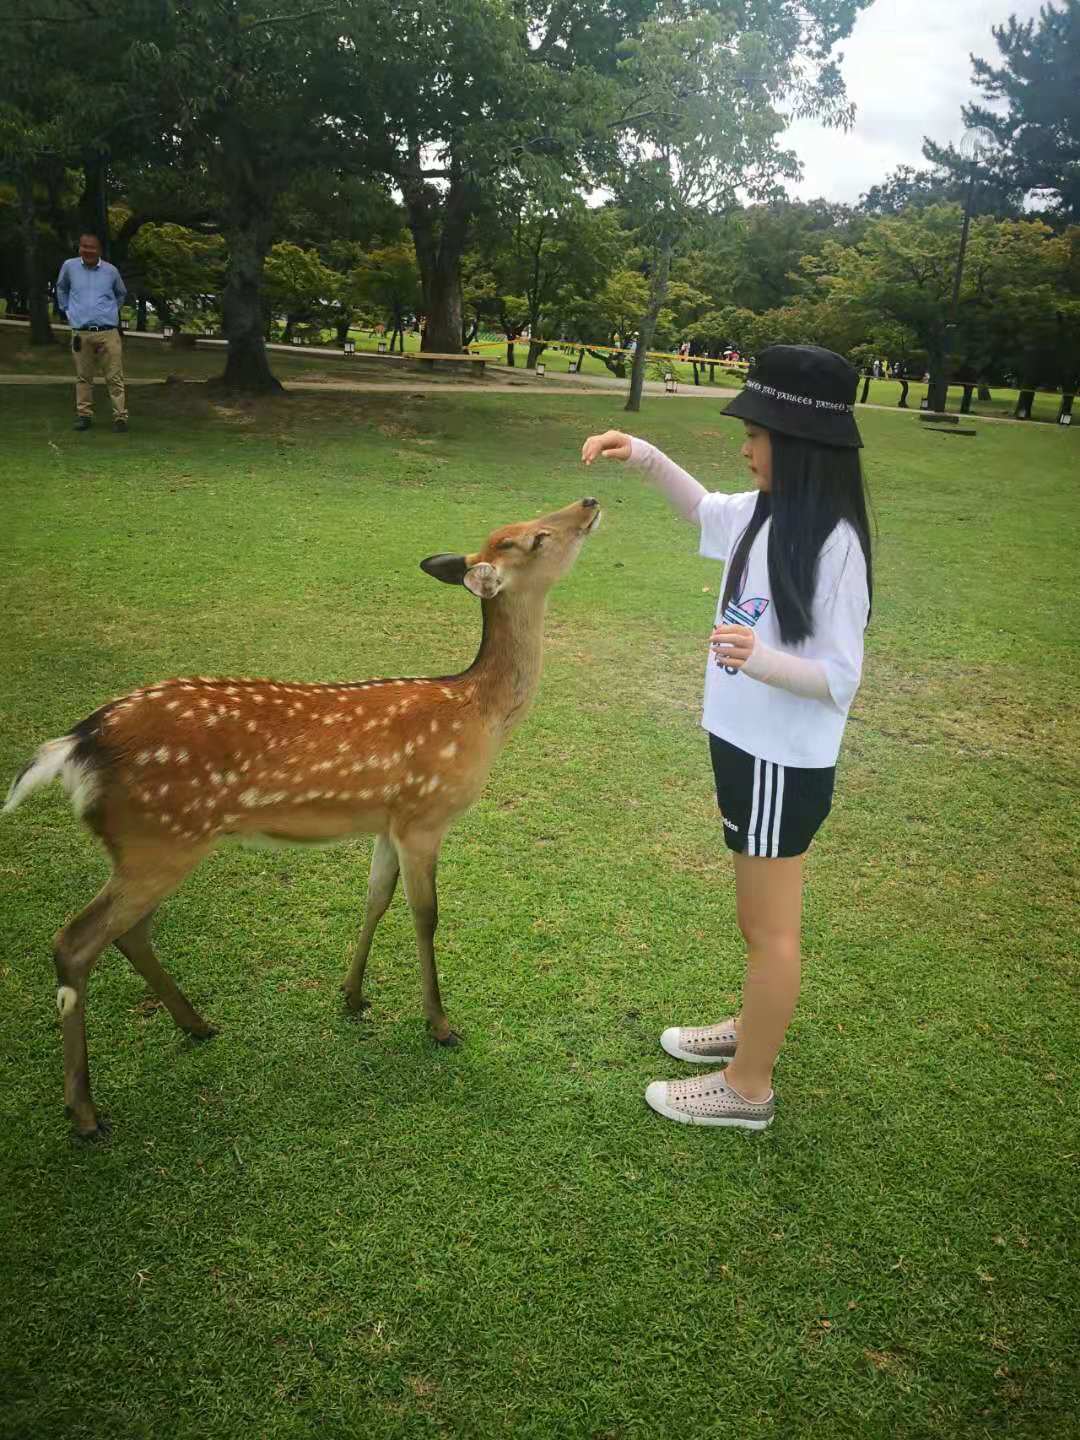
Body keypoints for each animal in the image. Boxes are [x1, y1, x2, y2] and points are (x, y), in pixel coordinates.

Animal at [2, 495, 601, 1134]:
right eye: (535, 538)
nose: (589, 501)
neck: (479, 715)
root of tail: (76, 745)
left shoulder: (389, 820)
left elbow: (375, 898)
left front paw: (353, 995)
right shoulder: (426, 814)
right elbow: (425, 915)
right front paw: (440, 1025)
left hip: (153, 845)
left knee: (129, 933)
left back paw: (197, 1024)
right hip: (157, 841)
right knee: (75, 941)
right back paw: (86, 1112)